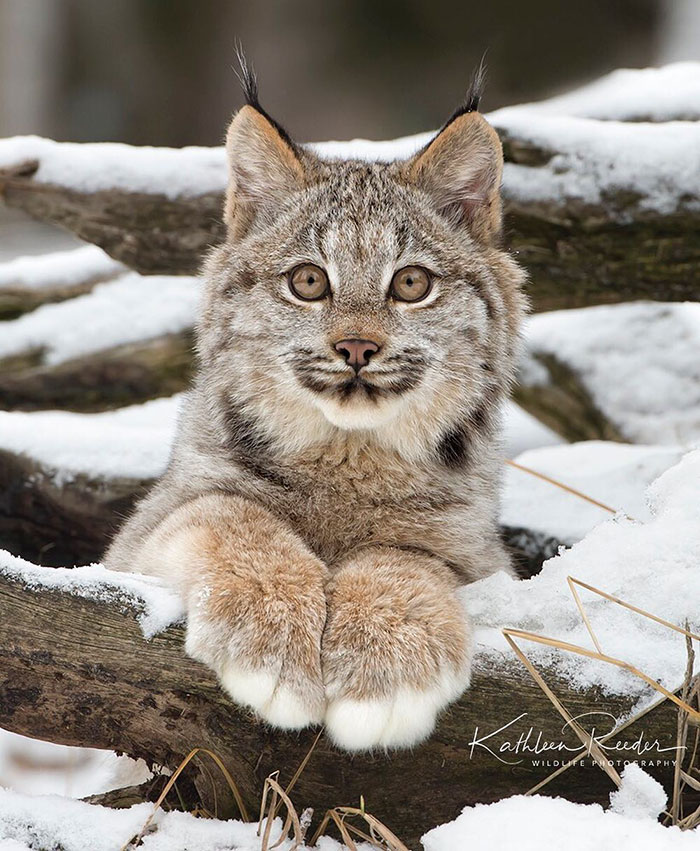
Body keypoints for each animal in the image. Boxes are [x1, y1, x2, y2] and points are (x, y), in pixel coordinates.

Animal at [105, 70, 524, 756]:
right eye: (307, 282)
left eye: (411, 284)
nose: (355, 348)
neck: (347, 453)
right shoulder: (140, 535)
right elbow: (228, 512)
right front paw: (271, 640)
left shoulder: (482, 556)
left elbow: (408, 556)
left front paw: (385, 669)